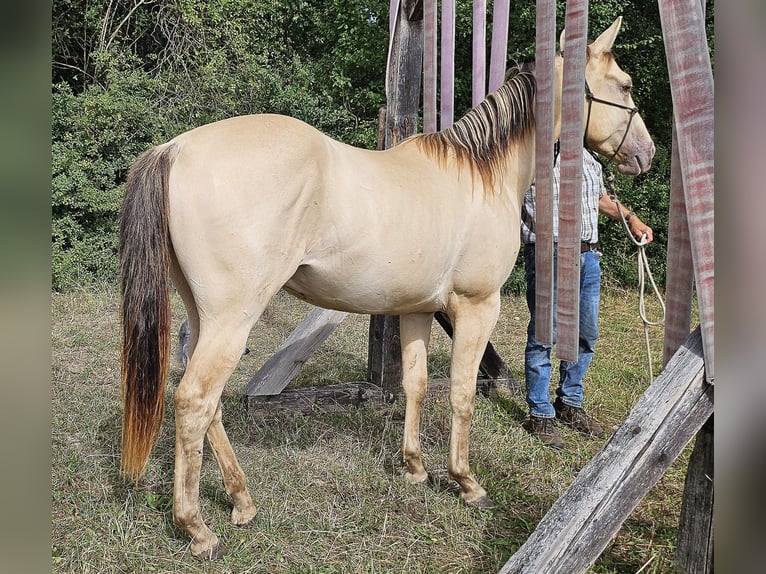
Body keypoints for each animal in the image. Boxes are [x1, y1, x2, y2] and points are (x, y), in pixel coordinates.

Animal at [118, 19, 656, 564]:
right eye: (625, 85)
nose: (647, 154)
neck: (482, 172)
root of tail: (175, 149)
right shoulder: (477, 307)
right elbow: (462, 392)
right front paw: (466, 483)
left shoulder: (416, 310)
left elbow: (414, 384)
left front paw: (415, 466)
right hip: (232, 319)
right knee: (194, 401)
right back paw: (197, 528)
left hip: (205, 316)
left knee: (210, 405)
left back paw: (241, 501)